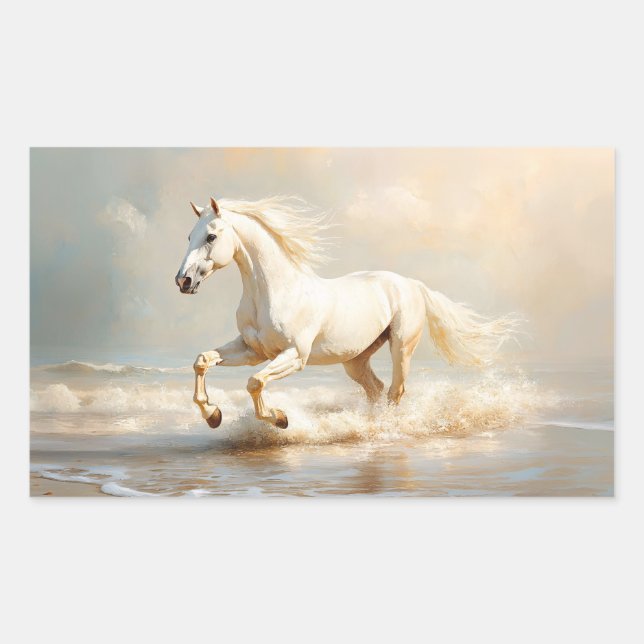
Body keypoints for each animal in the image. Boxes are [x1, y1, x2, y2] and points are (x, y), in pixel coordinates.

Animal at [175, 196, 517, 430]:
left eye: (211, 236)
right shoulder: (252, 350)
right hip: (355, 360)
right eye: (189, 236)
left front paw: (279, 418)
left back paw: (385, 429)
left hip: (401, 348)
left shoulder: (295, 356)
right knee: (375, 389)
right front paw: (213, 414)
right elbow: (203, 361)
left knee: (395, 391)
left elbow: (255, 383)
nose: (183, 281)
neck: (275, 291)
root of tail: (412, 284)